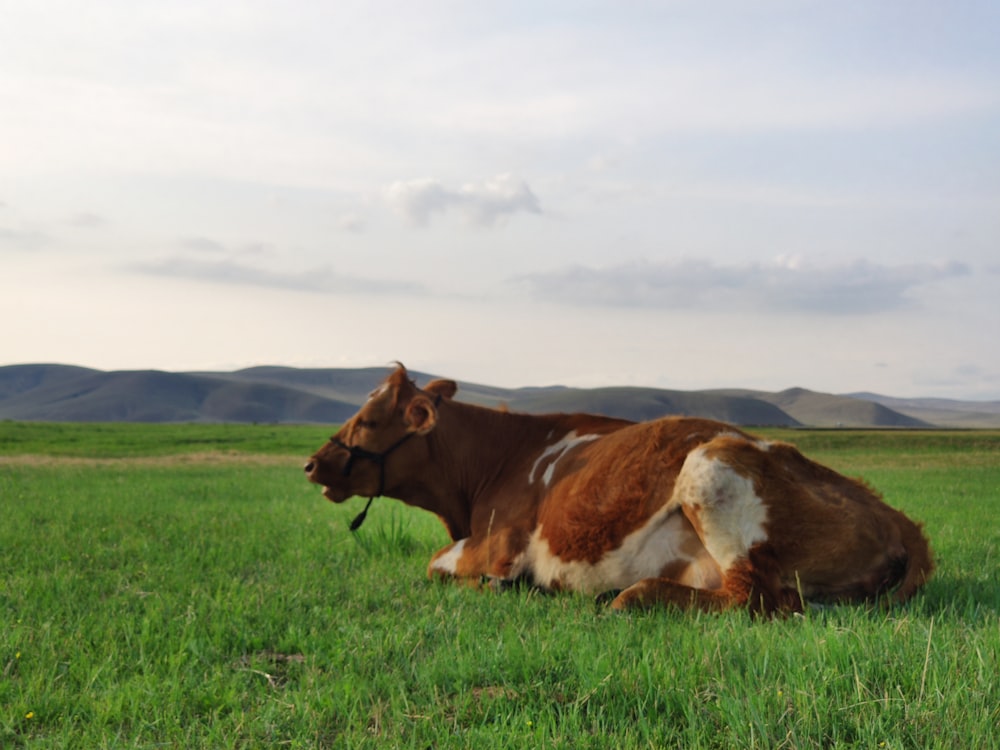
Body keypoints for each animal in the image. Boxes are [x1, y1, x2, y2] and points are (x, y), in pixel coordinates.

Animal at [300, 366, 932, 616]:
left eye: (370, 419)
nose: (312, 463)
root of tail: (898, 517)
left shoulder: (498, 546)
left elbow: (436, 564)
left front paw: (495, 587)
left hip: (708, 467)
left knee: (749, 599)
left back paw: (629, 597)